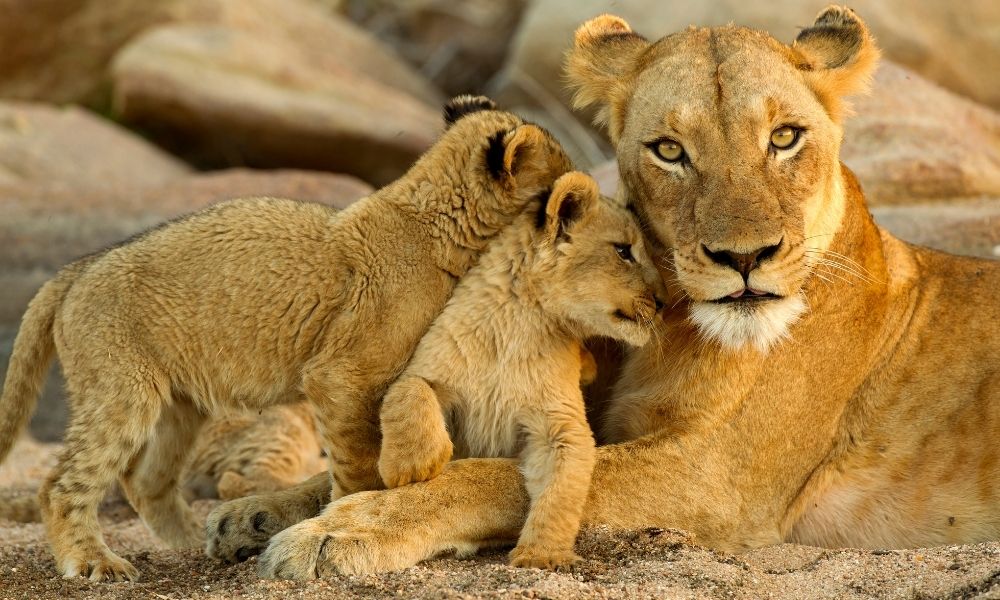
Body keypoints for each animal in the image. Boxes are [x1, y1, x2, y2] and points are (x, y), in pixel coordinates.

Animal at [0, 95, 572, 581]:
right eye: (563, 174)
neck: (433, 221)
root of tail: (77, 268)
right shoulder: (343, 375)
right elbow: (357, 460)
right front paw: (346, 513)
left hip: (180, 404)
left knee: (144, 480)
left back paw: (195, 542)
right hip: (122, 390)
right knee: (60, 486)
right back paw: (94, 562)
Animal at [203, 5, 1000, 579]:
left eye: (784, 137)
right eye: (670, 150)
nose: (744, 258)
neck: (672, 329)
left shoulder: (714, 479)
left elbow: (488, 476)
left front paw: (343, 529)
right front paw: (258, 511)